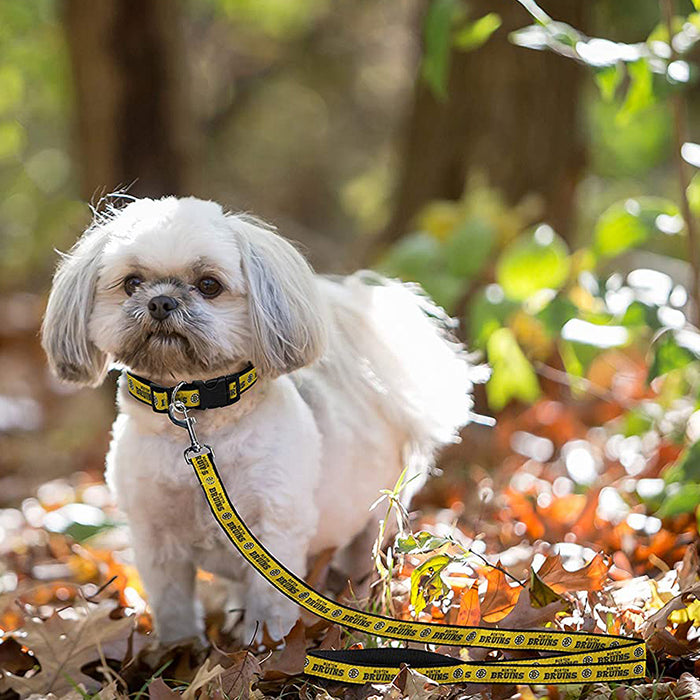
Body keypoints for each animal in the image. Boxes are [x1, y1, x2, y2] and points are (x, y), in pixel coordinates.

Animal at [41, 196, 482, 644]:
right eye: (131, 283)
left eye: (209, 285)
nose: (161, 302)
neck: (195, 415)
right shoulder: (156, 539)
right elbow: (174, 607)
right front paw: (179, 650)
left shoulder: (274, 531)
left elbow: (270, 605)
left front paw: (264, 649)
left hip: (375, 520)